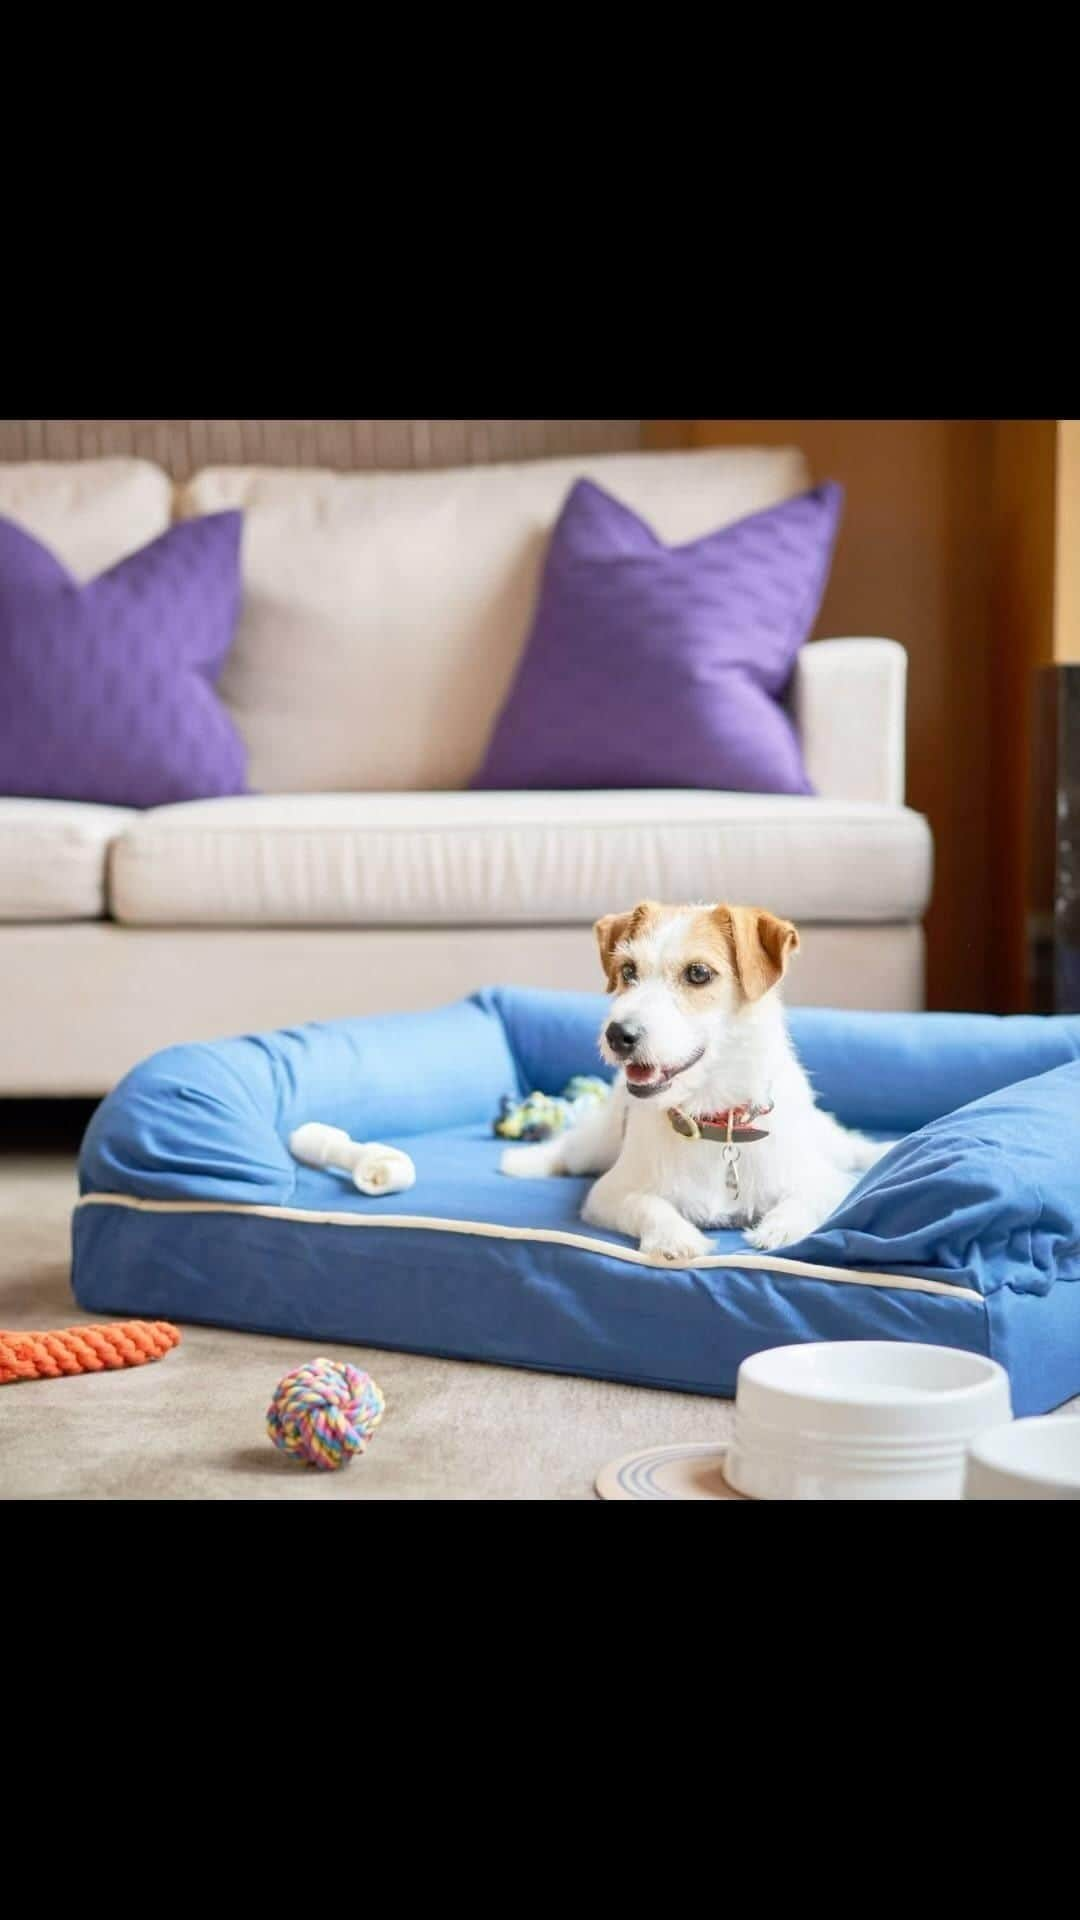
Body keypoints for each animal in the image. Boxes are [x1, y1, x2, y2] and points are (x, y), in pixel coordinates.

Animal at [499, 906, 887, 1267]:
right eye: (628, 971)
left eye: (698, 973)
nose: (618, 1035)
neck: (713, 1117)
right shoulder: (607, 1194)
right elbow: (646, 1203)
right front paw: (673, 1237)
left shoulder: (827, 1183)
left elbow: (807, 1199)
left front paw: (780, 1229)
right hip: (595, 1145)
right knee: (569, 1148)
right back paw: (529, 1160)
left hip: (828, 1143)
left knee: (851, 1146)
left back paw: (882, 1152)